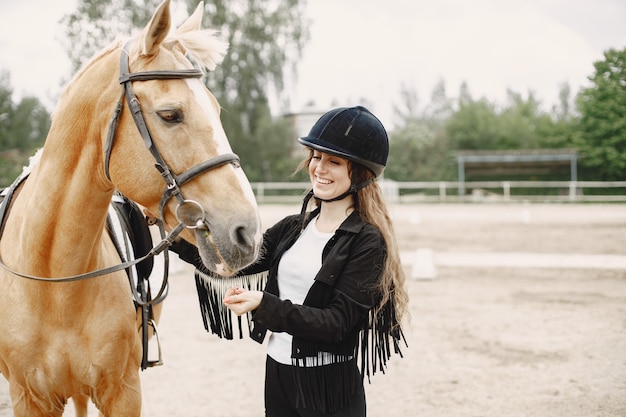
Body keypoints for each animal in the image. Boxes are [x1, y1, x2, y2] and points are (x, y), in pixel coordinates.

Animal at [0, 1, 260, 414]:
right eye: (170, 114)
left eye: (216, 109)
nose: (247, 231)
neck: (55, 284)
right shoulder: (30, 398)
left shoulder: (123, 391)